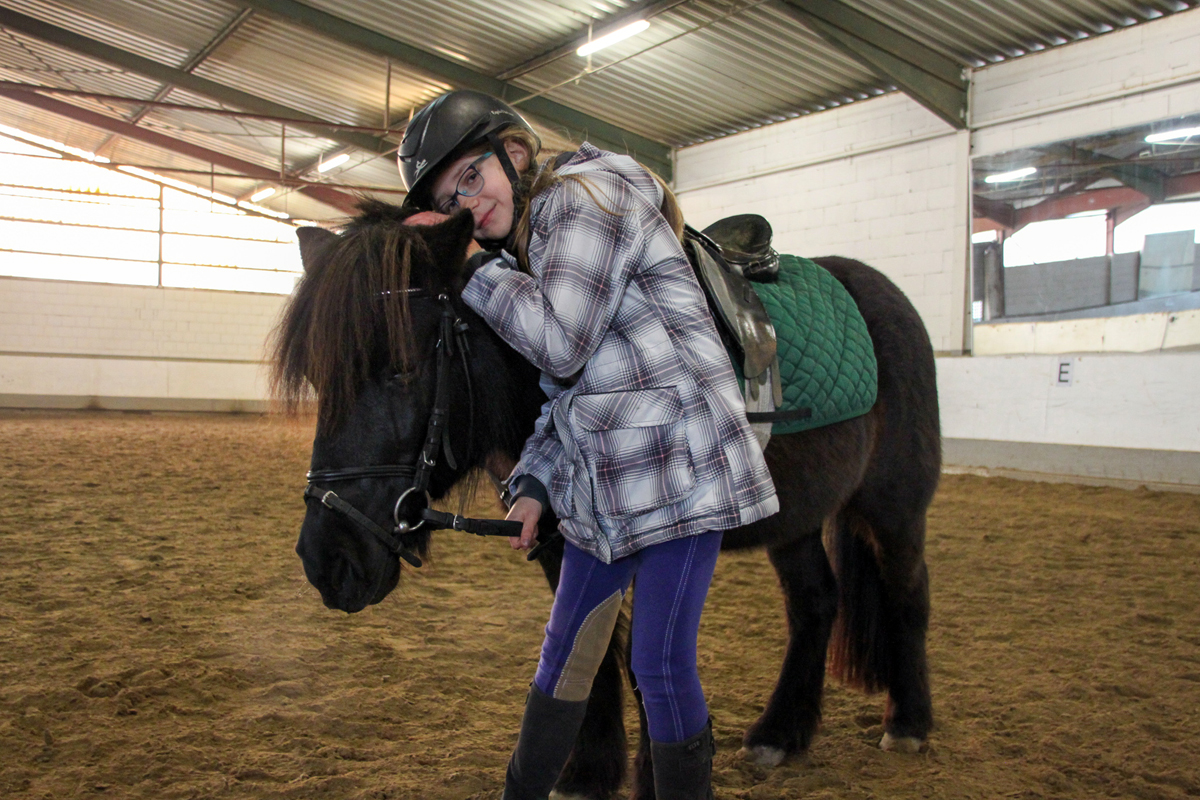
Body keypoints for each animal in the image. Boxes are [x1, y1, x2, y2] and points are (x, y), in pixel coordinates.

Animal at [272, 201, 936, 800]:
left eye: (403, 370)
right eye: (320, 376)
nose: (326, 560)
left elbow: (645, 667)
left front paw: (647, 777)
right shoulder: (558, 539)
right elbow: (586, 650)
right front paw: (587, 771)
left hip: (894, 507)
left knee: (907, 590)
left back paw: (908, 722)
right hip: (795, 520)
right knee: (816, 603)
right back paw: (780, 733)